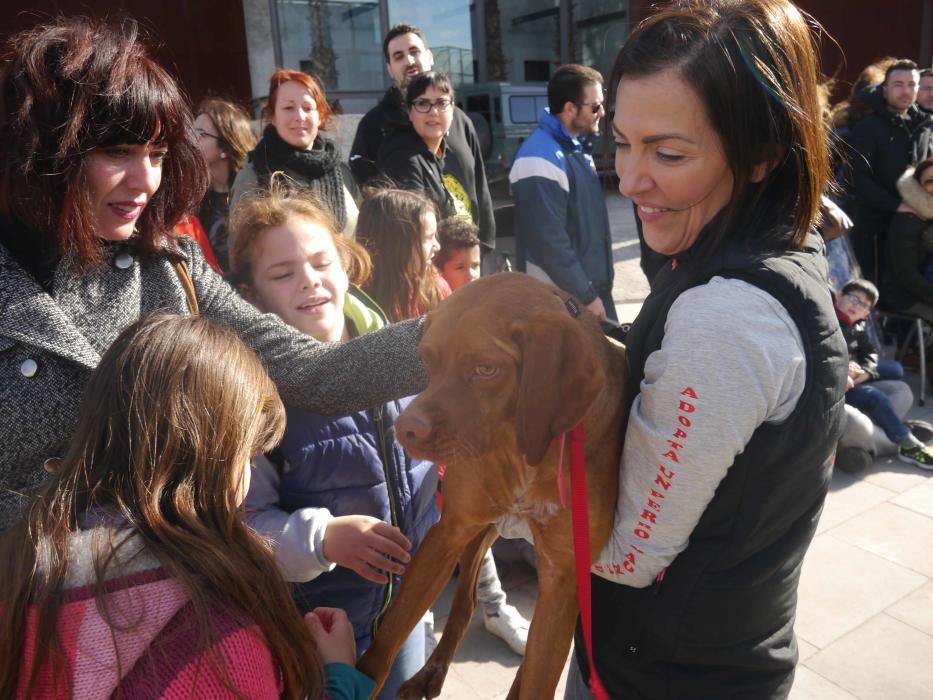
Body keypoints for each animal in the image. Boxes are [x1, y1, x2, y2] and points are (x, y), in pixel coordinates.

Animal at [356, 274, 628, 700]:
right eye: (426, 360)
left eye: (486, 369)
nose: (406, 430)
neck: (522, 457)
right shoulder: (450, 530)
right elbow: (385, 641)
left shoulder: (563, 575)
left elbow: (537, 678)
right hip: (479, 535)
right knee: (465, 601)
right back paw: (430, 673)